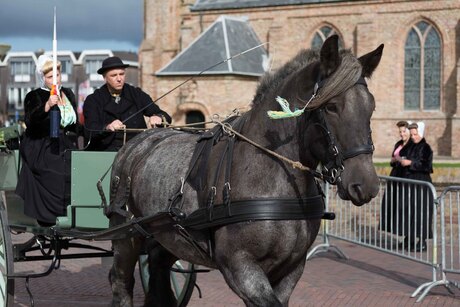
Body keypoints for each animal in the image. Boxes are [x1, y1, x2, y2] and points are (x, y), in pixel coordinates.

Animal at [106, 35, 382, 306]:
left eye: (372, 105)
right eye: (331, 106)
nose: (366, 184)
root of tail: (138, 141)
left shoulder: (292, 268)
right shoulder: (240, 266)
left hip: (166, 236)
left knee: (157, 267)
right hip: (125, 236)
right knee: (120, 281)